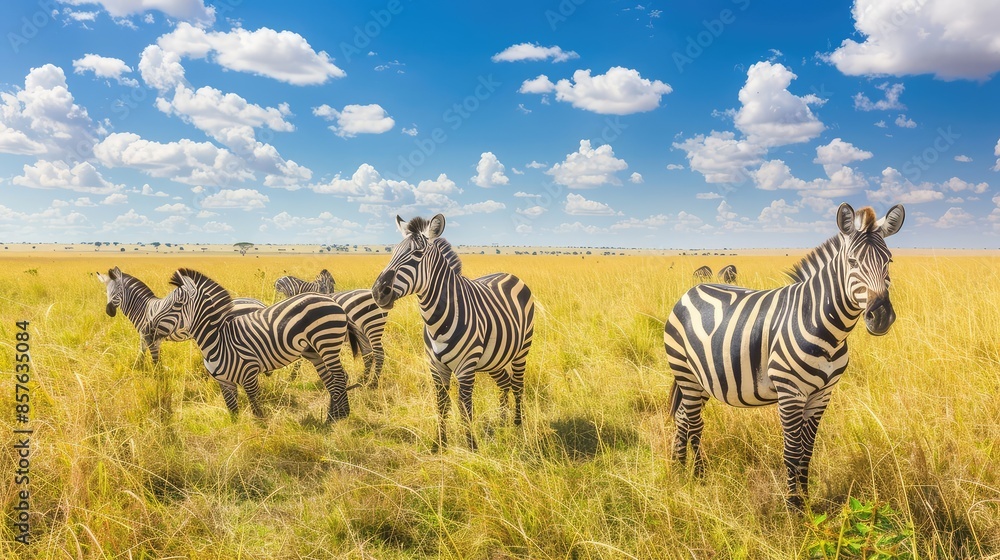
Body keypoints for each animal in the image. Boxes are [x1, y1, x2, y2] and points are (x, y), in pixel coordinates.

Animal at [96, 266, 264, 363]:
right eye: (106, 291)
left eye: (118, 291)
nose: (109, 311)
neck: (144, 308)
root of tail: (259, 304)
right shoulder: (144, 336)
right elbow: (141, 354)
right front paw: (139, 369)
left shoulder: (151, 338)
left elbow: (155, 360)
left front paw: (158, 380)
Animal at [146, 268, 359, 422]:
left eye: (176, 305)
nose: (147, 328)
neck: (218, 340)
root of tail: (331, 299)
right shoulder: (224, 383)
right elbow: (233, 415)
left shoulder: (249, 376)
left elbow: (257, 413)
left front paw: (260, 438)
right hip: (314, 351)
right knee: (334, 379)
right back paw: (337, 416)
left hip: (326, 342)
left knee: (339, 378)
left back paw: (335, 418)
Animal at [371, 214, 534, 450]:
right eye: (392, 253)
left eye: (417, 254)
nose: (377, 292)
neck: (436, 322)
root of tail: (508, 274)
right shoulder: (435, 366)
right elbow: (441, 404)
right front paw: (439, 443)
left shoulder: (466, 367)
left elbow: (465, 408)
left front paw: (472, 447)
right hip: (494, 357)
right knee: (504, 383)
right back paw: (502, 423)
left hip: (522, 350)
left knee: (518, 385)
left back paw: (517, 425)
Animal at [664, 203, 904, 509]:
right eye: (852, 262)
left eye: (889, 261)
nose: (881, 316)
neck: (823, 325)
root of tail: (691, 291)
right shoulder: (791, 393)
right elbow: (792, 451)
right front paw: (794, 507)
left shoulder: (822, 395)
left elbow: (807, 451)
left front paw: (807, 501)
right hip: (685, 372)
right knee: (694, 424)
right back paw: (698, 476)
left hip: (701, 378)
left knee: (683, 417)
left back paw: (678, 468)